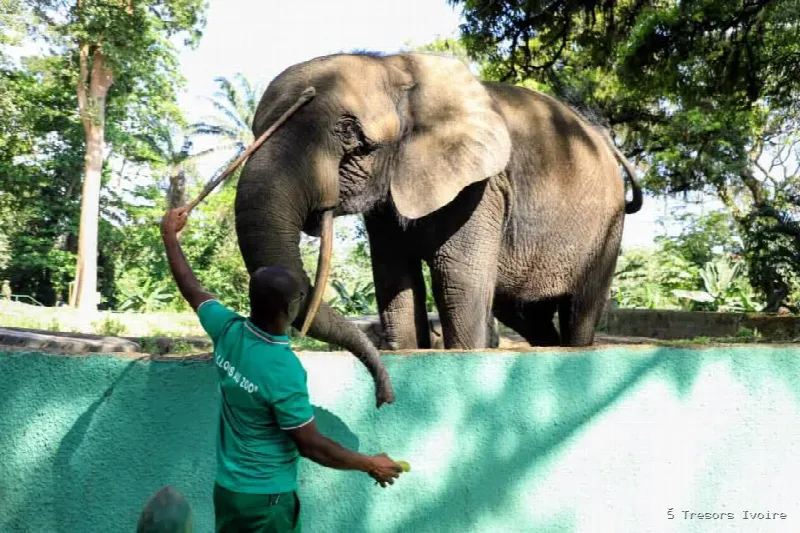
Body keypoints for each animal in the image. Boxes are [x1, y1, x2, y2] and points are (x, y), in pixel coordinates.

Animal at [234, 51, 643, 407]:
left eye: (348, 133)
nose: (384, 398)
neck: (399, 69)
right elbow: (394, 283)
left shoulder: (481, 188)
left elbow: (458, 279)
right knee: (526, 316)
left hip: (606, 228)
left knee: (579, 311)